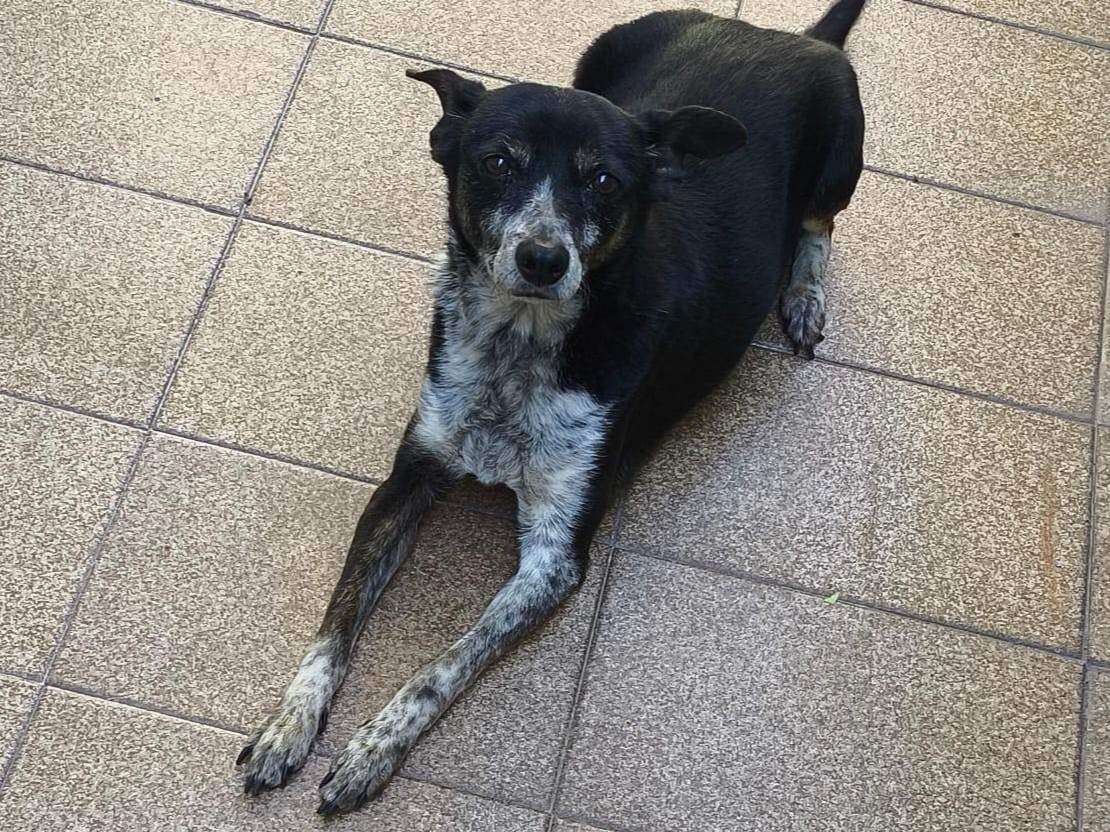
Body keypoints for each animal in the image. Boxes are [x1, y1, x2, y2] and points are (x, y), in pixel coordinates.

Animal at [238, 0, 866, 814]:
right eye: (498, 161)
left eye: (603, 179)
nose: (543, 258)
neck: (520, 345)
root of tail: (790, 35)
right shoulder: (408, 478)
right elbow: (335, 623)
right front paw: (289, 724)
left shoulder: (554, 556)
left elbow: (446, 662)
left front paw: (374, 747)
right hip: (600, 52)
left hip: (843, 156)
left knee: (820, 226)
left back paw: (804, 297)